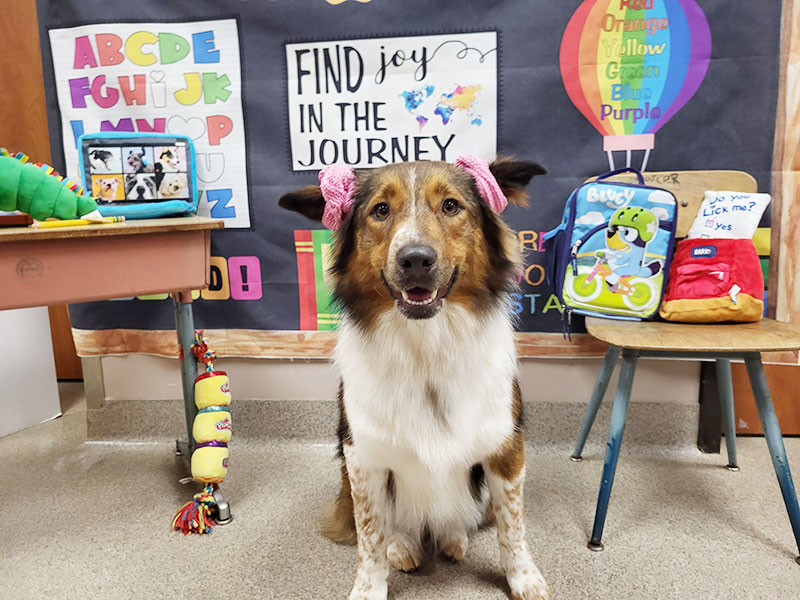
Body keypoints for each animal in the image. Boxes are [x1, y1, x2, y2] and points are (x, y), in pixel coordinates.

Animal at [278, 156, 548, 600]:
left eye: (452, 206)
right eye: (380, 210)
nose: (415, 259)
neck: (426, 350)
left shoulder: (506, 449)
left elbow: (513, 526)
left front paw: (523, 578)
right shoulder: (363, 460)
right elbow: (370, 536)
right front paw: (369, 588)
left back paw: (454, 537)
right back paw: (403, 546)